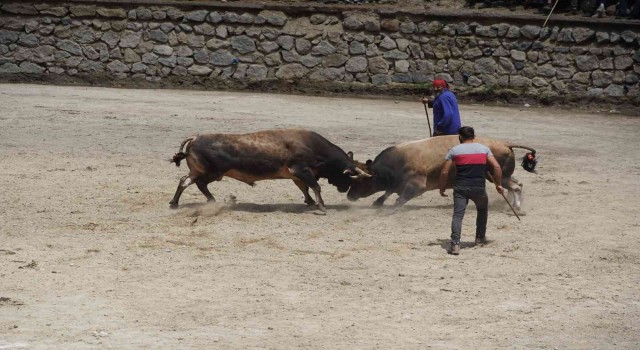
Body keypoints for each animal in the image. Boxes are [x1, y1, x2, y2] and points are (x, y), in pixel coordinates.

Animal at [170, 128, 370, 211]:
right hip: (212, 172)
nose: (344, 190)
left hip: (198, 170)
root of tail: (196, 137)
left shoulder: (296, 175)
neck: (314, 147)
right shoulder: (301, 170)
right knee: (199, 183)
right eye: (351, 177)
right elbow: (315, 186)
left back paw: (175, 203)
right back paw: (211, 201)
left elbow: (304, 188)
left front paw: (311, 202)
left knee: (184, 181)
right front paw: (321, 205)